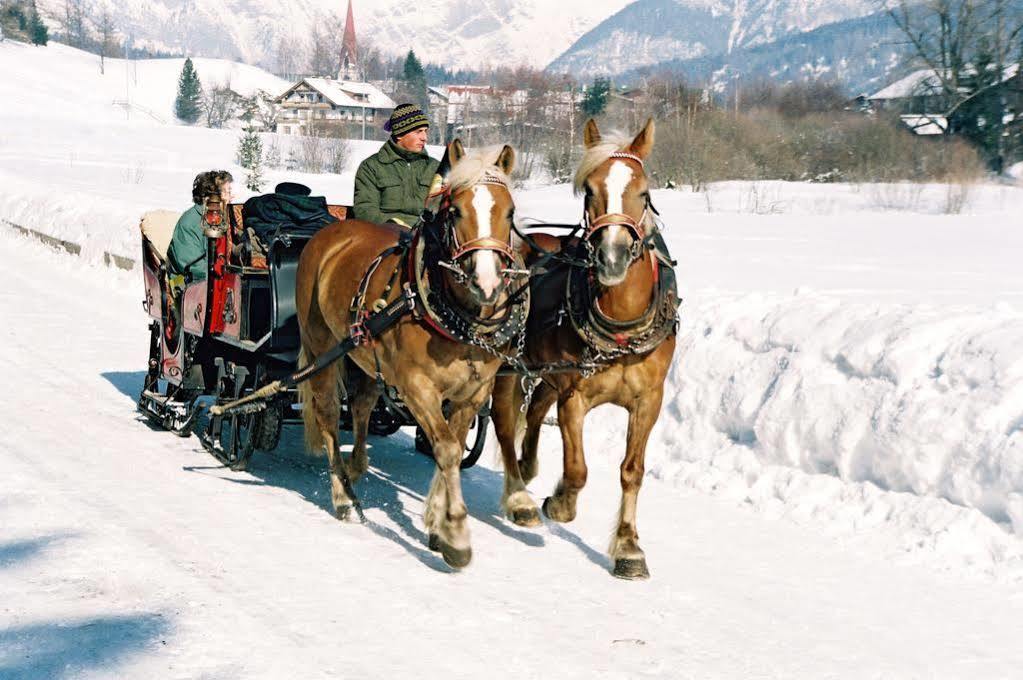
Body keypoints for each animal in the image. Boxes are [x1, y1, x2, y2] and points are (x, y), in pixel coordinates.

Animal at [292, 142, 523, 568]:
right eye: (455, 210)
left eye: (510, 212)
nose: (486, 283)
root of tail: (331, 231)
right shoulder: (417, 387)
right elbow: (446, 448)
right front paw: (456, 534)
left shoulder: (473, 393)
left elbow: (451, 446)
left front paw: (436, 524)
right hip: (320, 346)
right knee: (329, 413)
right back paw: (343, 495)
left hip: (366, 357)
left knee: (363, 405)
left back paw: (357, 466)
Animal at [488, 118, 675, 576]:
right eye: (589, 190)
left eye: (643, 191)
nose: (612, 258)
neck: (622, 325)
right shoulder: (575, 395)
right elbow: (577, 469)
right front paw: (560, 503)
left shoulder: (649, 400)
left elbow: (632, 471)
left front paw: (628, 547)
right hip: (509, 367)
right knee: (506, 422)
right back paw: (519, 492)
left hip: (543, 371)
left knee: (536, 409)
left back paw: (528, 466)